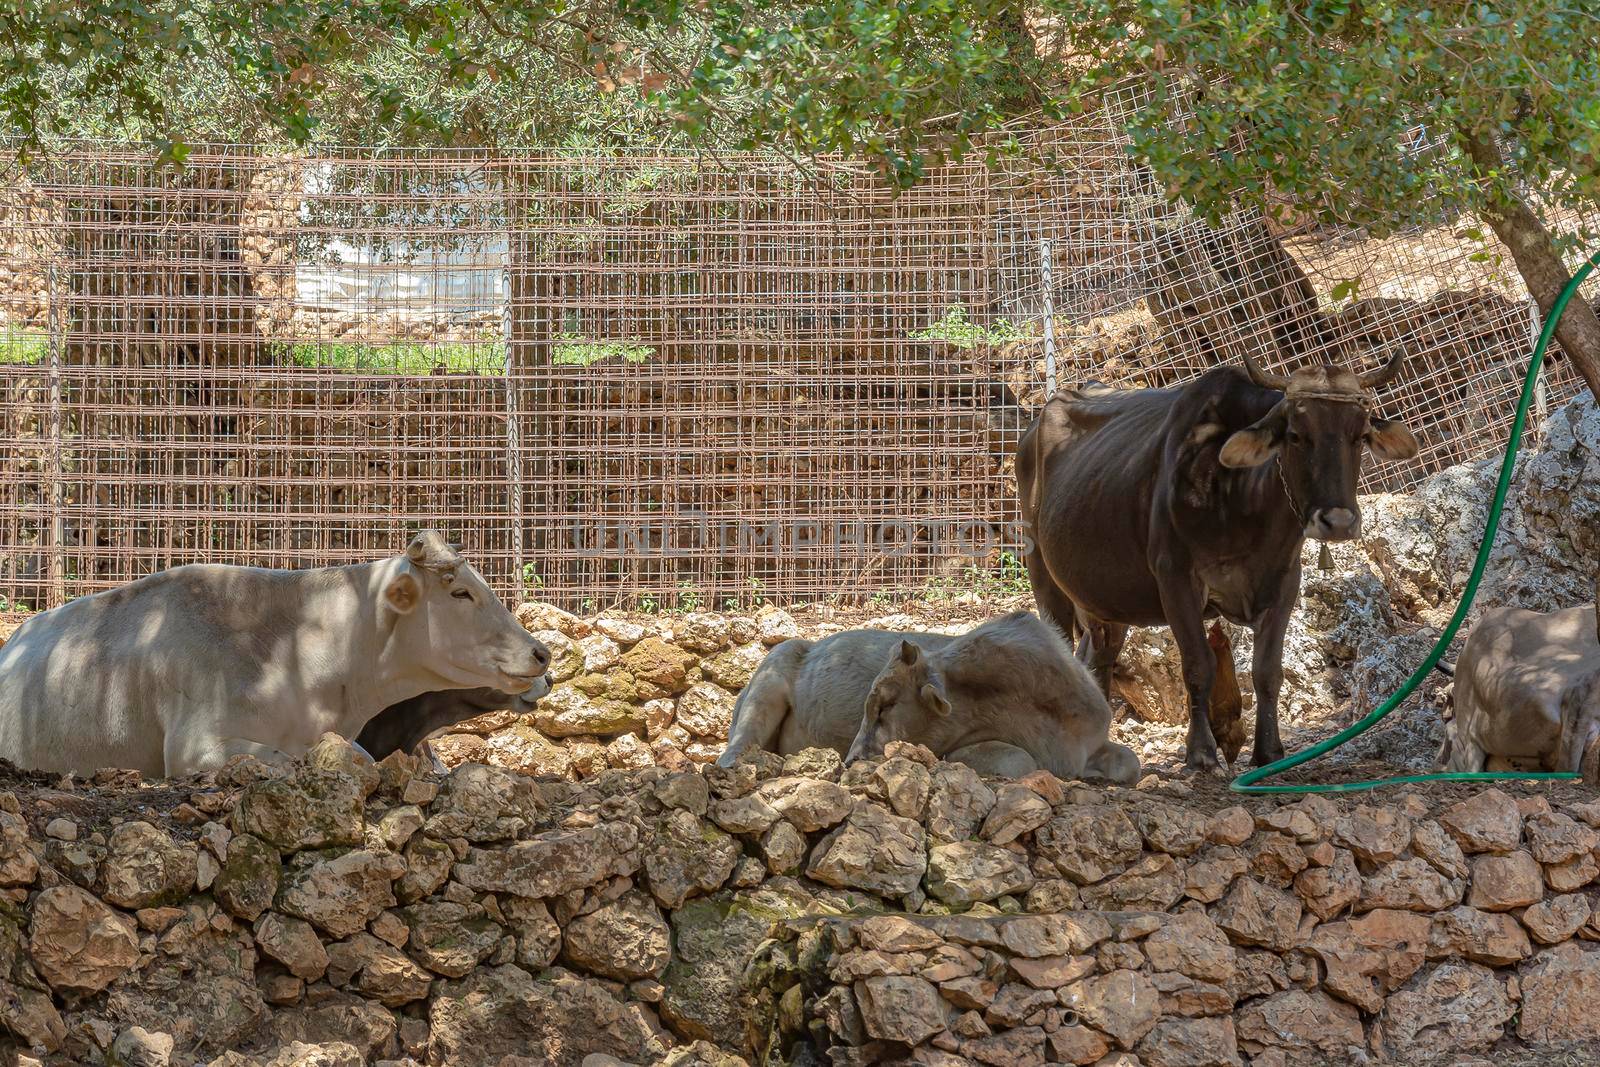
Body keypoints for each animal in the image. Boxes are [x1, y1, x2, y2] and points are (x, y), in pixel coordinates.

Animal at [1017, 355, 1420, 771]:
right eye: (1295, 435)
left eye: (1359, 435)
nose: (1337, 521)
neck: (1244, 505)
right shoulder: (1175, 578)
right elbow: (1199, 666)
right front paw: (1201, 751)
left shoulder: (1284, 583)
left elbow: (1267, 671)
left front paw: (1269, 751)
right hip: (1043, 573)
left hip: (1107, 604)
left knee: (1097, 661)